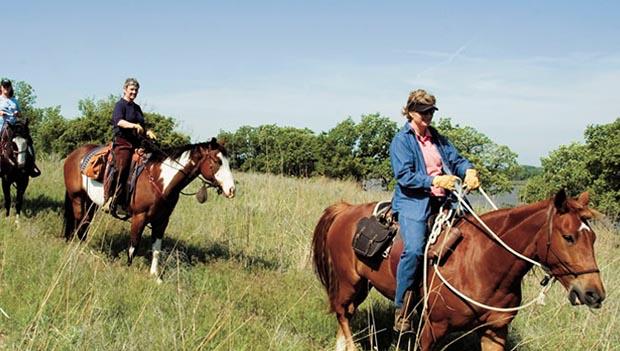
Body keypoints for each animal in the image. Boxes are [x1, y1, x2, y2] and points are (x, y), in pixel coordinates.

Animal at [63, 140, 235, 278]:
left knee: (85, 223)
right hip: (77, 197)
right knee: (80, 223)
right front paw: (128, 269)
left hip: (90, 202)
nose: (232, 190)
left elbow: (157, 249)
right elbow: (133, 246)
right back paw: (81, 250)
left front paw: (155, 275)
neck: (160, 181)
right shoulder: (139, 217)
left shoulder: (162, 221)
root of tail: (74, 154)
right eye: (217, 161)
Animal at [312, 191, 604, 350]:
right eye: (568, 237)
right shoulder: (432, 329)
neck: (483, 264)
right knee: (342, 312)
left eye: (594, 238)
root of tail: (346, 210)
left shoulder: (495, 332)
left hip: (362, 285)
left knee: (346, 312)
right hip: (349, 281)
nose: (594, 294)